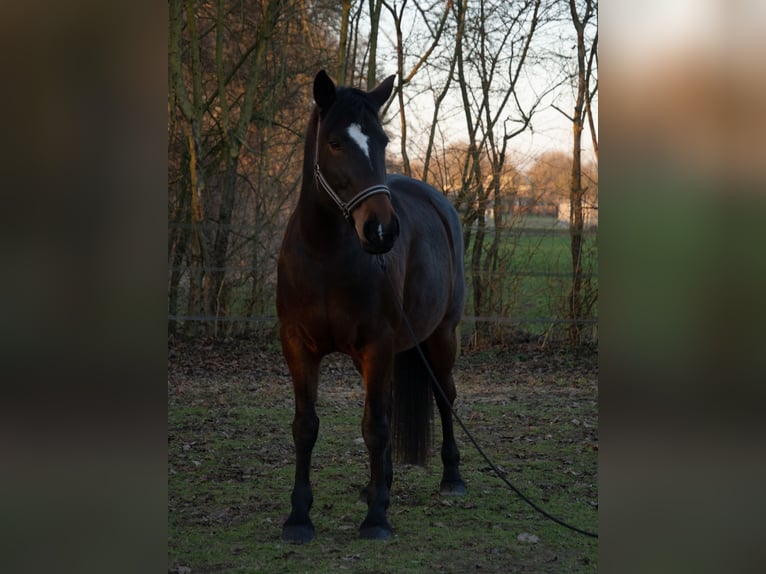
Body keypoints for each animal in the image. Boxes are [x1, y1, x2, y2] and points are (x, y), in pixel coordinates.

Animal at [276, 70, 466, 543]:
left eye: (381, 140)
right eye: (335, 142)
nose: (381, 230)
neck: (325, 255)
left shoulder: (376, 347)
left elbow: (375, 428)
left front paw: (377, 518)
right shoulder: (297, 347)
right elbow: (306, 427)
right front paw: (299, 517)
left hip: (442, 337)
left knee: (444, 396)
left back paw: (452, 478)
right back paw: (379, 483)